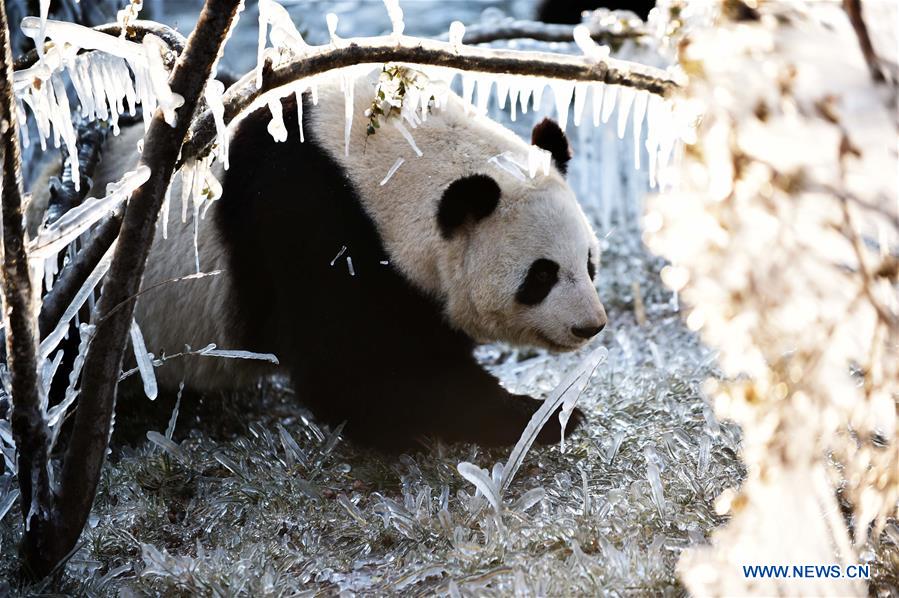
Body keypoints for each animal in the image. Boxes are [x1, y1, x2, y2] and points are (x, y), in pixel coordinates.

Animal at [74, 68, 604, 452]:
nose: (590, 326)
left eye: (589, 262)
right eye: (541, 275)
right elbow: (356, 367)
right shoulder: (312, 223)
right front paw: (536, 418)